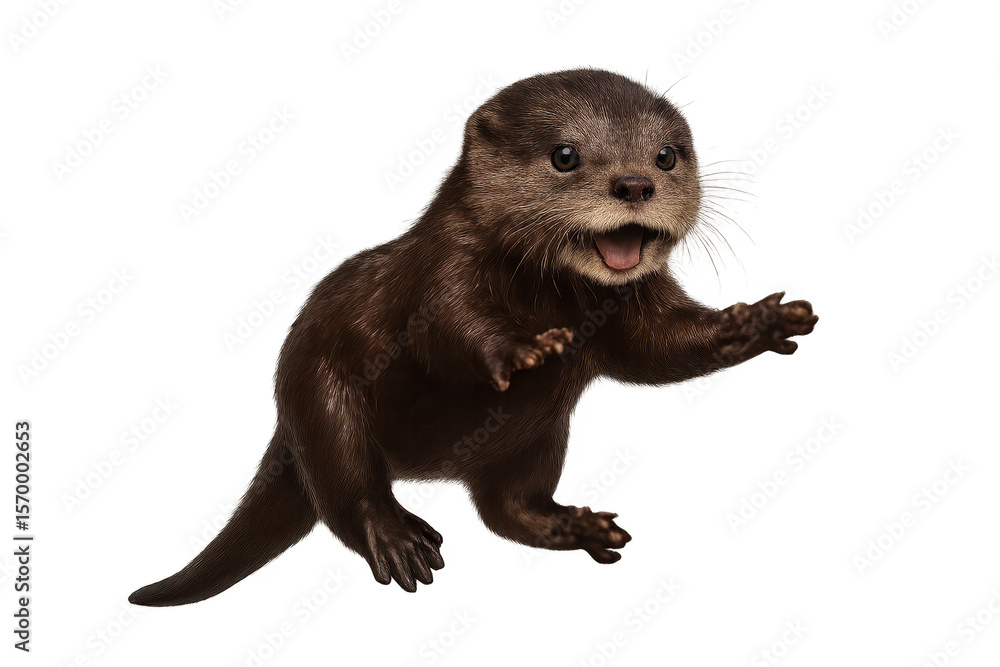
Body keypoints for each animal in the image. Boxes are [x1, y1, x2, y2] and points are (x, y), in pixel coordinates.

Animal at [129, 68, 817, 605]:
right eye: (565, 155)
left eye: (667, 156)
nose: (634, 185)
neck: (551, 297)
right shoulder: (443, 270)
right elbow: (450, 330)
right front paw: (528, 349)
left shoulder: (635, 306)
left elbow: (663, 349)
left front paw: (759, 321)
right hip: (318, 390)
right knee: (344, 482)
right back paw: (398, 538)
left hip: (541, 436)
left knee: (506, 506)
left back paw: (576, 527)